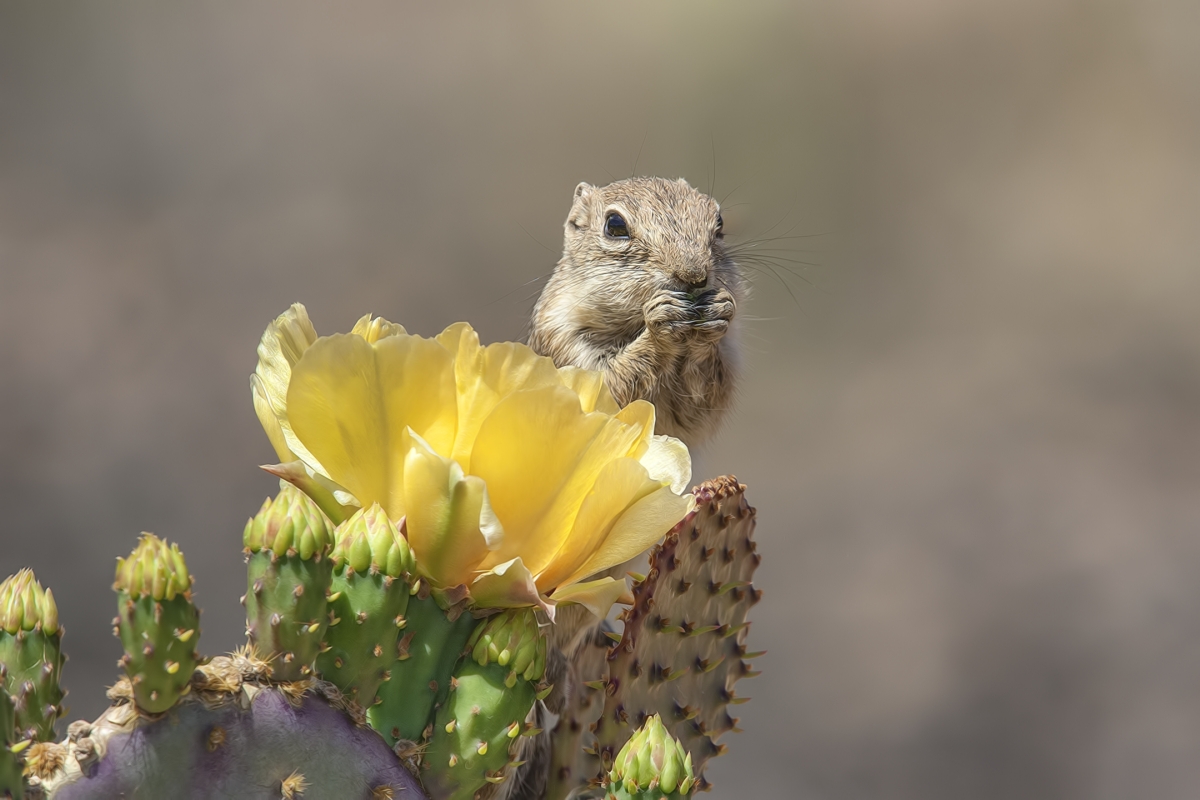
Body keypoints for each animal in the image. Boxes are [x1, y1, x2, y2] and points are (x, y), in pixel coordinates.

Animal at [528, 176, 739, 450]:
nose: (694, 276)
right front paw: (660, 324)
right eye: (615, 225)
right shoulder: (562, 341)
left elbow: (700, 405)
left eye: (719, 222)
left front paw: (720, 309)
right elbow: (612, 387)